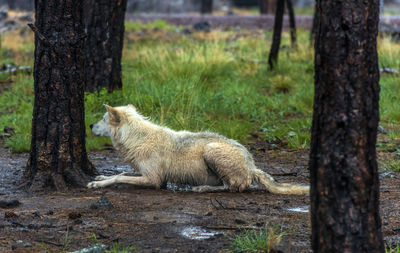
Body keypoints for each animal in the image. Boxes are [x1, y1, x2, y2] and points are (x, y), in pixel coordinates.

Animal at [87, 104, 308, 195]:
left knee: (231, 187)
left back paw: (202, 188)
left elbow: (119, 176)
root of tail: (252, 166)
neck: (137, 138)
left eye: (102, 119)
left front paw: (97, 184)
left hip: (211, 150)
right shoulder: (148, 175)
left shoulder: (154, 180)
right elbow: (121, 173)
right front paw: (100, 177)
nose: (89, 125)